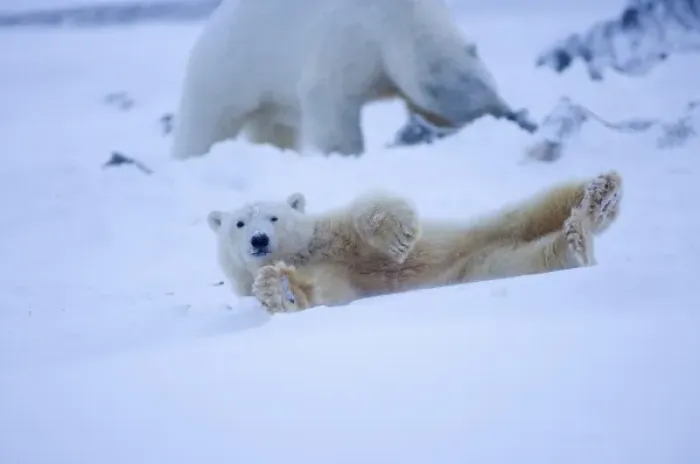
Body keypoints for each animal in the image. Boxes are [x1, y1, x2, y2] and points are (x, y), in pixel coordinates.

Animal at [171, 0, 537, 160]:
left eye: (488, 83)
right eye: (478, 93)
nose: (505, 112)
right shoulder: (351, 41)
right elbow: (328, 97)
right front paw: (345, 154)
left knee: (273, 129)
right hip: (226, 73)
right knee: (204, 127)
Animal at [207, 171, 622, 313]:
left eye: (274, 217)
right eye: (239, 223)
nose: (259, 239)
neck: (304, 252)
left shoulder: (331, 234)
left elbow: (363, 211)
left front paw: (398, 236)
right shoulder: (335, 280)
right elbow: (319, 293)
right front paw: (280, 289)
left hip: (479, 232)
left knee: (531, 208)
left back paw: (599, 195)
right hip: (482, 265)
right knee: (534, 256)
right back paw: (577, 240)